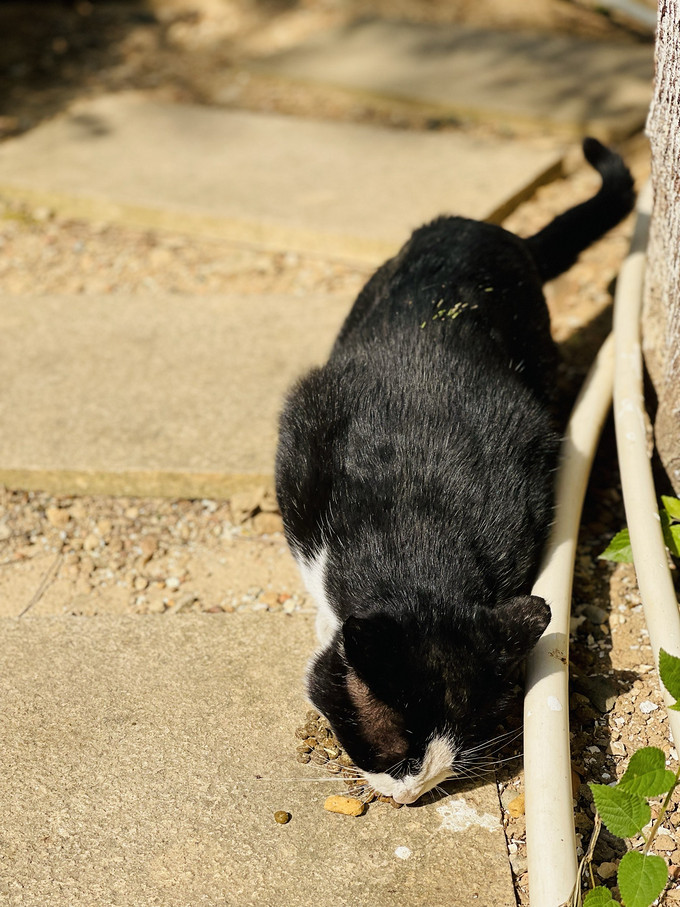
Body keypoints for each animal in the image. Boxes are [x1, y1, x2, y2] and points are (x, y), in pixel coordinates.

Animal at [274, 138, 636, 804]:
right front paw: (321, 621)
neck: (417, 552)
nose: (410, 793)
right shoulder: (300, 447)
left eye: (459, 749)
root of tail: (485, 228)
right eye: (392, 751)